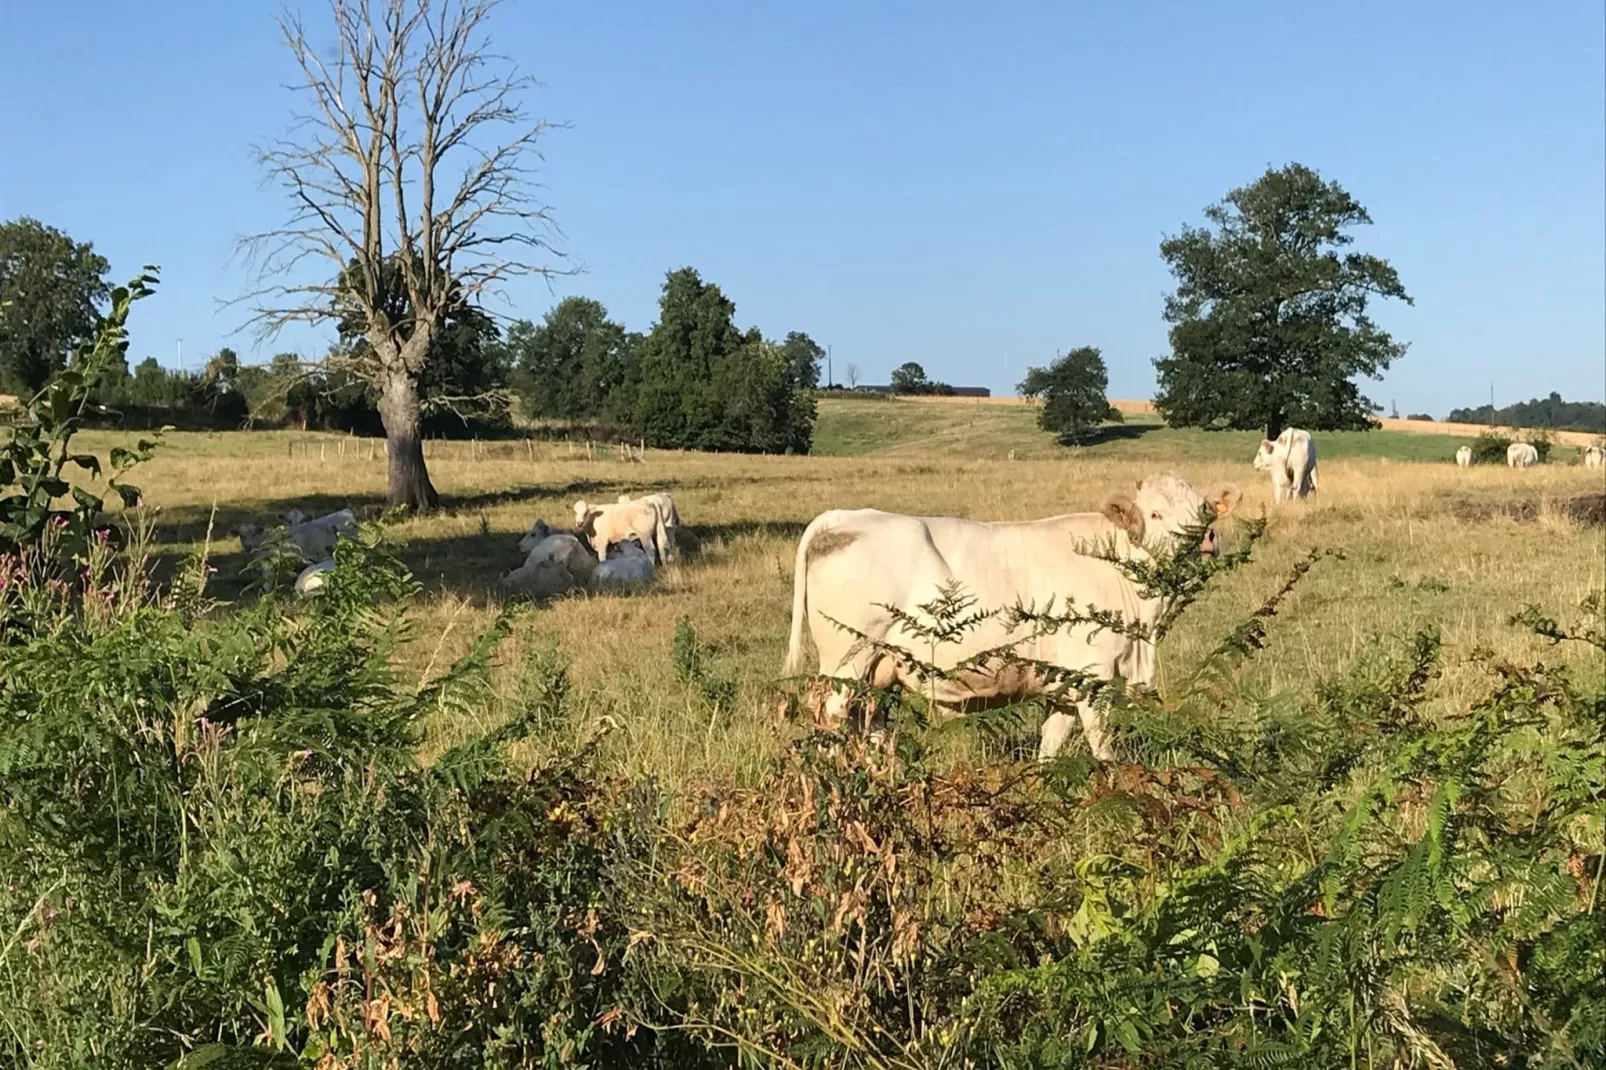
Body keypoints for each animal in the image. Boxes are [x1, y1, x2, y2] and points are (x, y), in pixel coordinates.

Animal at [783, 472, 1246, 758]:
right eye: (1155, 513)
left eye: (1205, 508)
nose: (1205, 536)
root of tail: (845, 517)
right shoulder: (1094, 675)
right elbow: (1102, 746)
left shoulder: (1065, 683)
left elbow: (1051, 744)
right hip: (847, 657)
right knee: (833, 718)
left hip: (879, 669)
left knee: (870, 723)